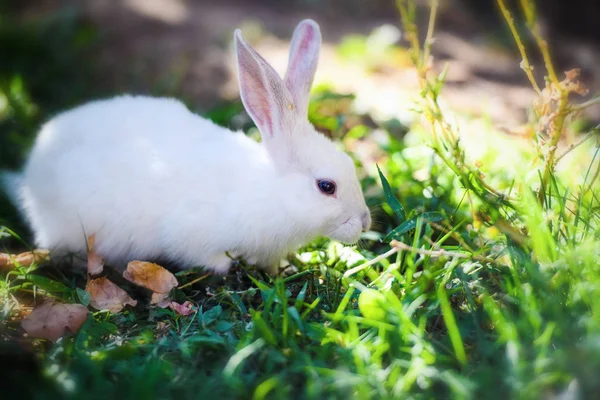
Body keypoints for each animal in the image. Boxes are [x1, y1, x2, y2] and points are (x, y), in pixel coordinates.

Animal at [1, 19, 370, 276]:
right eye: (326, 187)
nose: (365, 222)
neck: (269, 192)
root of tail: (29, 178)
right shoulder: (191, 234)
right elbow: (203, 255)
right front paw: (230, 268)